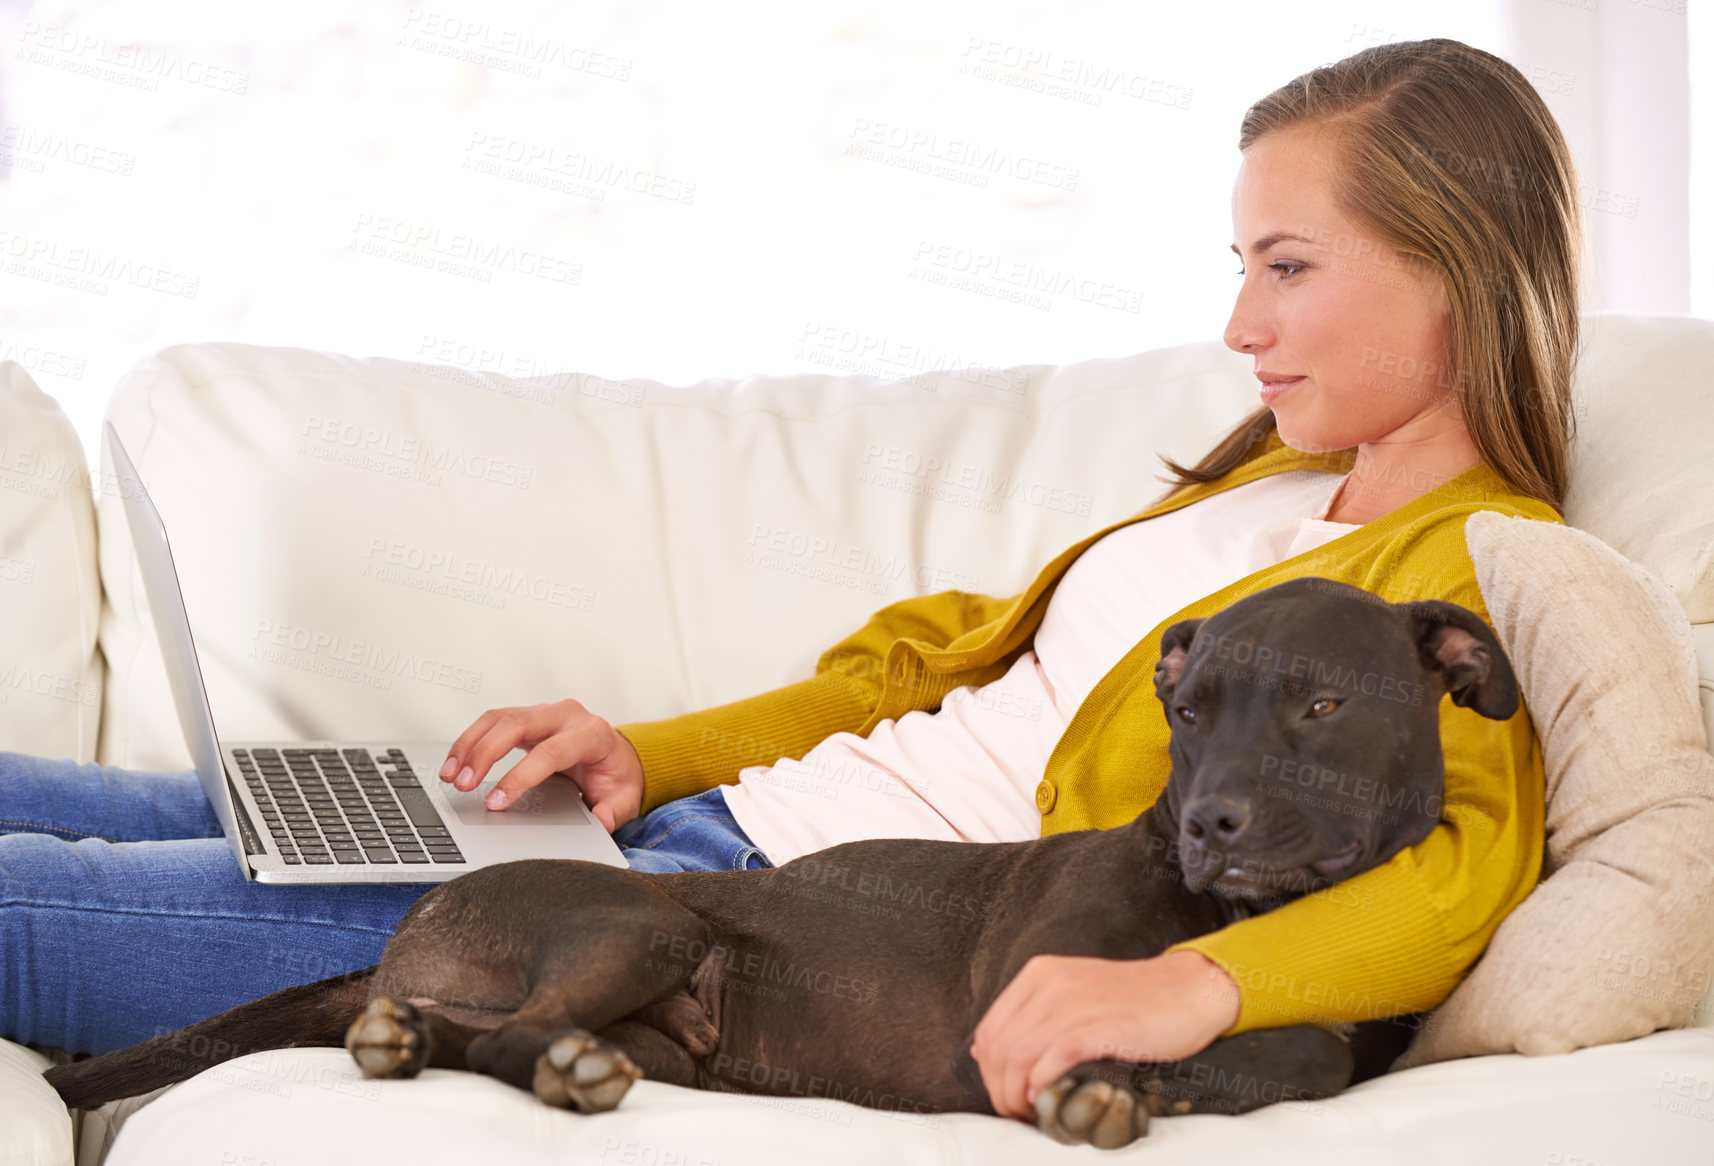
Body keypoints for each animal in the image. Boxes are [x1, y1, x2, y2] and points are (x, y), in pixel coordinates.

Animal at [46, 576, 1515, 1145]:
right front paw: (1123, 1077)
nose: (1210, 819)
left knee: (474, 1039)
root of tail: (411, 927)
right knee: (509, 1035)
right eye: (1187, 710)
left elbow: (1305, 1044)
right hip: (641, 927)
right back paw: (545, 1065)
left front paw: (1162, 1071)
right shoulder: (1008, 1008)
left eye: (1320, 702)